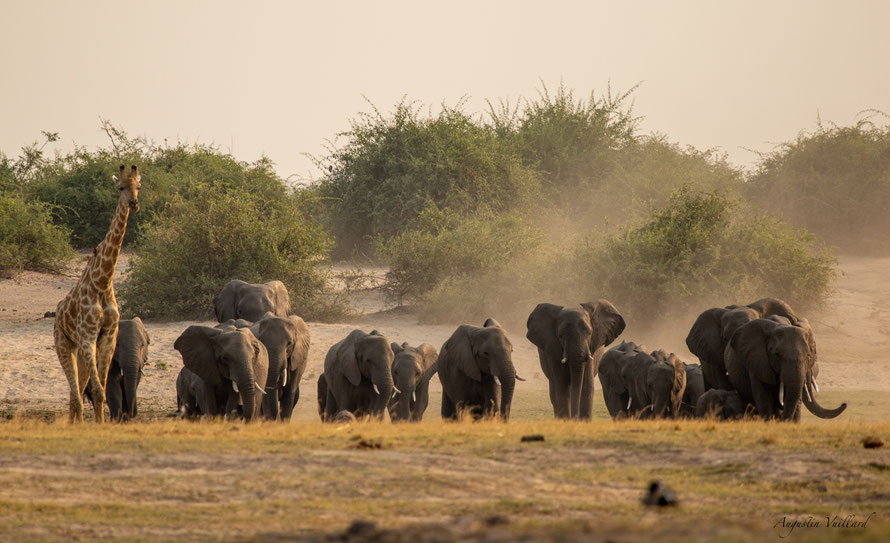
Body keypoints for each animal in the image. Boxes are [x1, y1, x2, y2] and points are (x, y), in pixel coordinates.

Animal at [54, 164, 141, 422]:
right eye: (120, 187)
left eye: (138, 186)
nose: (134, 203)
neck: (103, 281)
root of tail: (58, 312)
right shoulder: (88, 337)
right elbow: (98, 390)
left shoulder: (108, 337)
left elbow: (100, 389)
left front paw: (101, 424)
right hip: (64, 345)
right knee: (75, 394)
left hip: (79, 350)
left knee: (75, 394)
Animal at [720, 316, 848, 422]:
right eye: (777, 355)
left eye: (808, 356)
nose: (844, 403)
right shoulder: (757, 363)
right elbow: (765, 400)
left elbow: (795, 399)